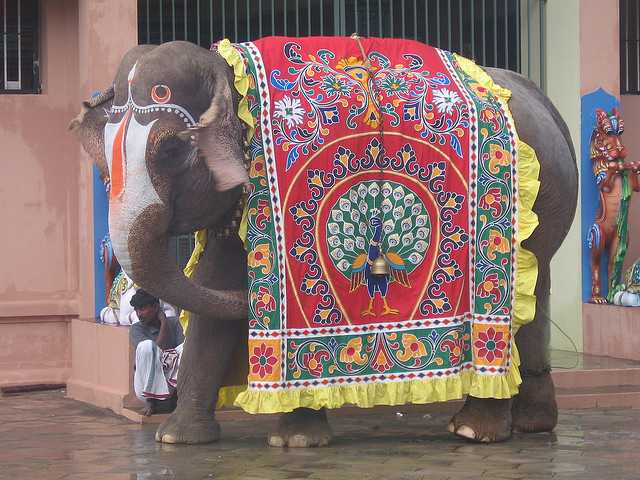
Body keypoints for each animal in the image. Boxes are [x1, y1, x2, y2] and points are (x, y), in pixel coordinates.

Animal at [69, 37, 576, 446]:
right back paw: (531, 426)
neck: (230, 74)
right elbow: (218, 279)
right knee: (536, 294)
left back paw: (475, 431)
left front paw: (295, 441)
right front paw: (177, 440)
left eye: (172, 150)